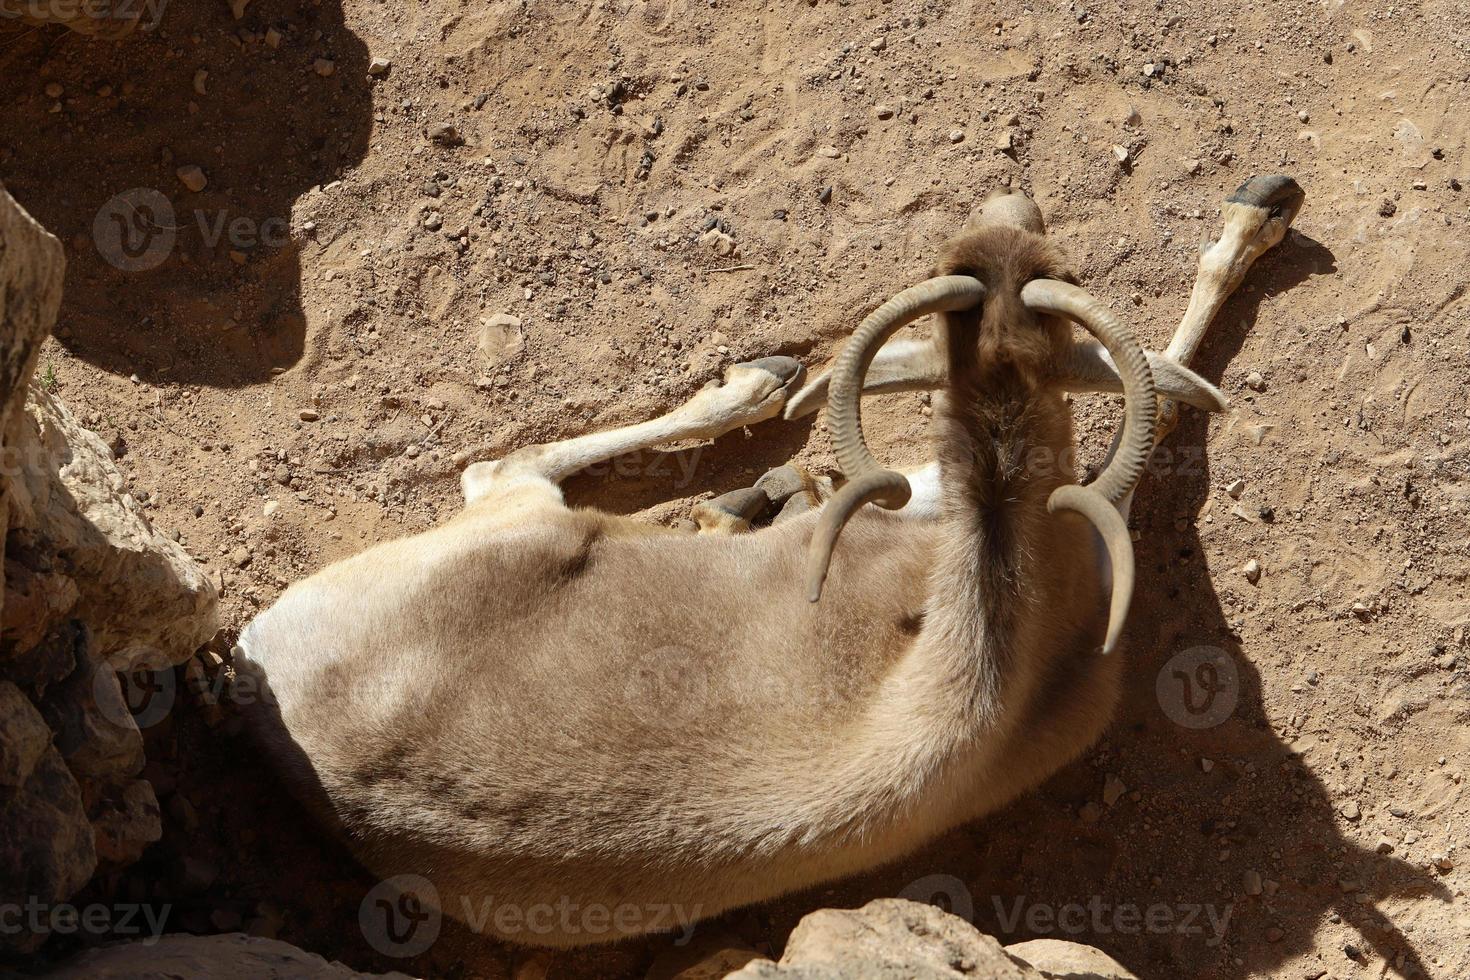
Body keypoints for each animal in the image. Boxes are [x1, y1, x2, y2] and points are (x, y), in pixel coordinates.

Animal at [238, 176, 1311, 952]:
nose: (1013, 205)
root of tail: (260, 679)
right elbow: (1146, 419)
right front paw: (1253, 223)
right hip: (522, 523)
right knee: (497, 465)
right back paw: (753, 397)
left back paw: (750, 466)